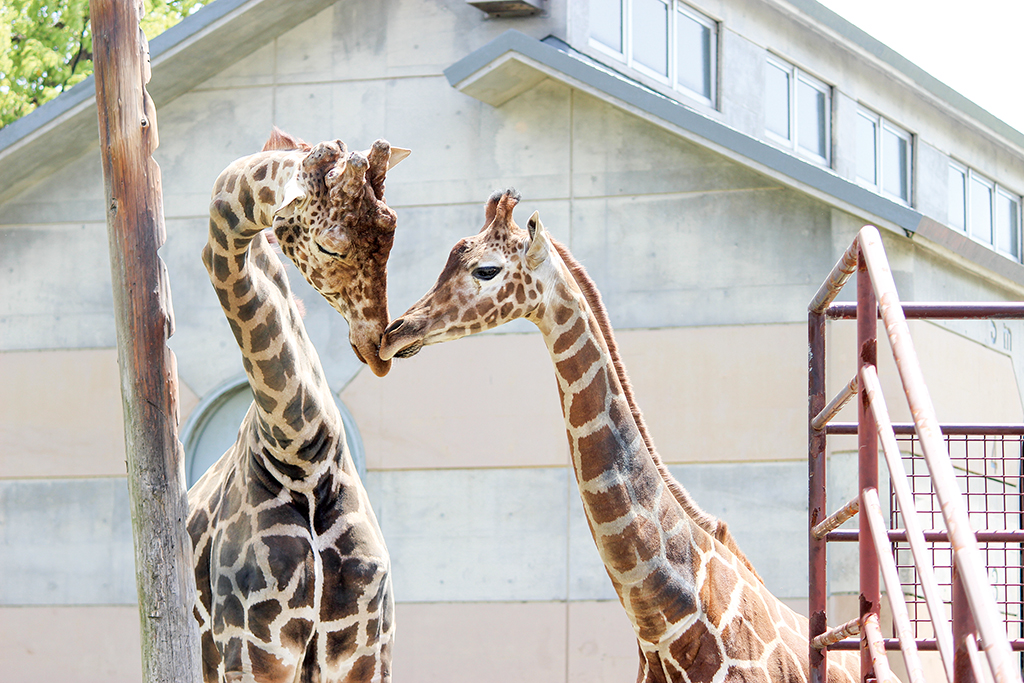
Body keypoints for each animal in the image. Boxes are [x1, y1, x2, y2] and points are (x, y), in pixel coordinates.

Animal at [186, 128, 409, 683]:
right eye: (330, 244)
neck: (299, 450)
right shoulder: (255, 653)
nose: (379, 346)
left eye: (392, 231)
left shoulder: (365, 652)